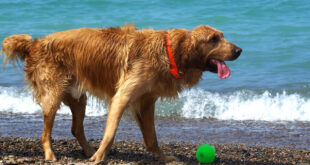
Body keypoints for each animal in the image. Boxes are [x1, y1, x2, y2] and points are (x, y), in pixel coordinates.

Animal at [1, 24, 241, 162]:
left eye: (222, 36)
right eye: (213, 39)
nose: (239, 50)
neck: (169, 52)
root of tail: (34, 43)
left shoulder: (147, 101)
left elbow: (152, 138)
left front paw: (164, 157)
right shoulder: (122, 96)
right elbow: (110, 133)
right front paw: (100, 157)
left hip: (78, 97)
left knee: (76, 128)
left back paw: (87, 150)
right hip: (53, 95)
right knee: (45, 134)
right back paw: (52, 155)